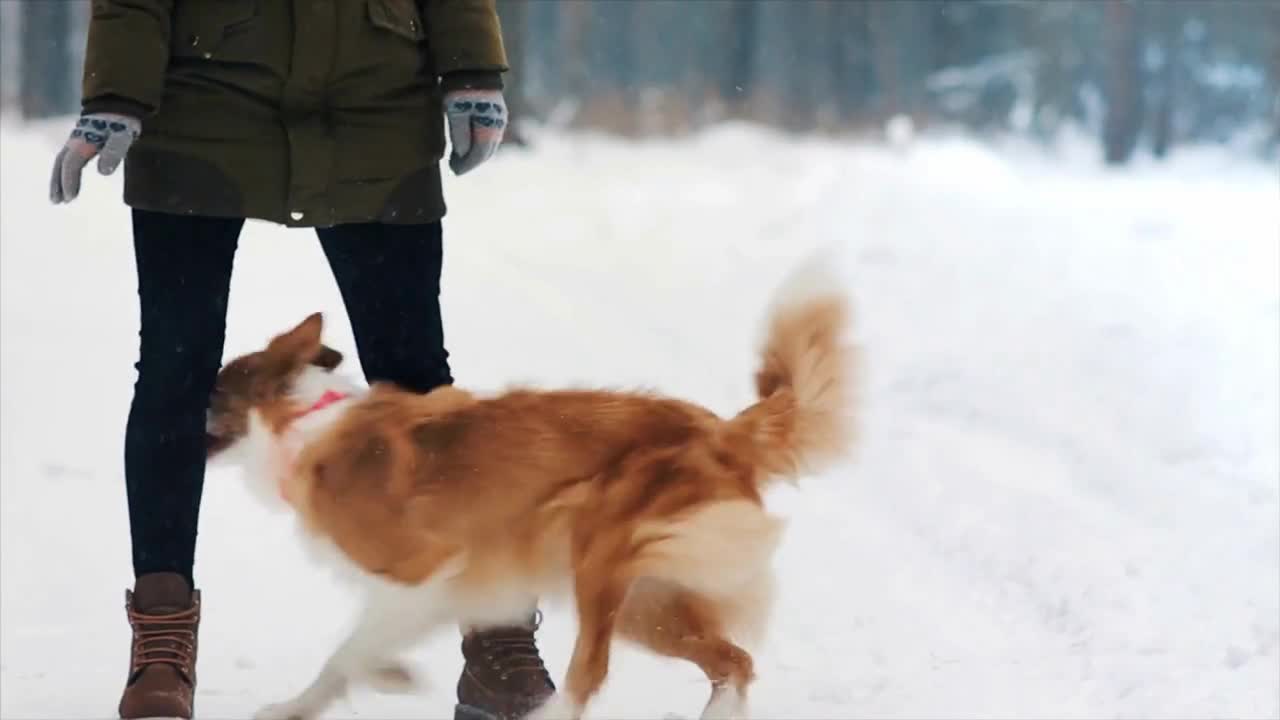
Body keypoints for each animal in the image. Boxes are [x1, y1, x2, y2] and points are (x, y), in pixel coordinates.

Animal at [207, 263, 860, 717]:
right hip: (648, 603)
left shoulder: (427, 570)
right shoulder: (440, 588)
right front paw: (311, 703)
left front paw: (385, 677)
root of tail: (722, 431)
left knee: (592, 671)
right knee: (735, 663)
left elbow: (349, 652)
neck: (302, 422)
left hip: (596, 555)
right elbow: (350, 657)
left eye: (208, 393)